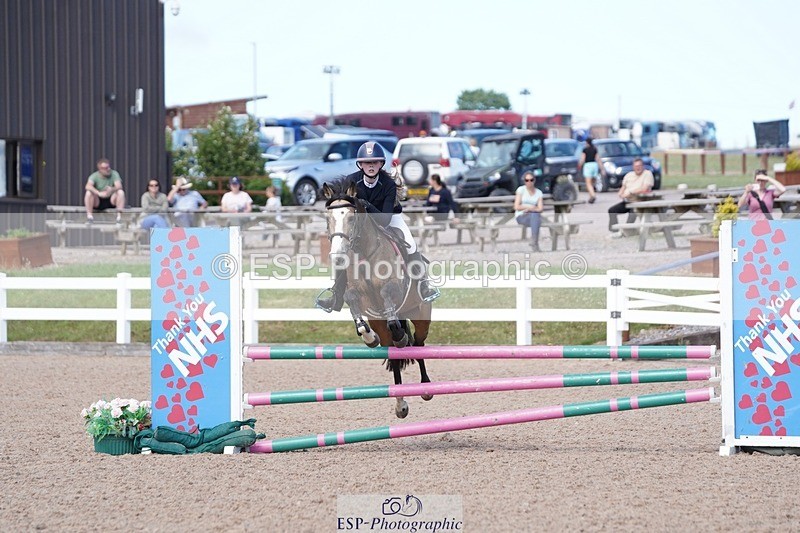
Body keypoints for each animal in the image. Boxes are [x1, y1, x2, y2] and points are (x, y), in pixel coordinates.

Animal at [321, 178, 433, 418]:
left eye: (351, 217)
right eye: (328, 219)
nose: (337, 255)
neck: (364, 253)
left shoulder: (393, 289)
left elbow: (388, 296)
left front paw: (399, 334)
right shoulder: (356, 296)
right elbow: (353, 304)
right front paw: (368, 337)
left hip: (421, 315)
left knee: (418, 343)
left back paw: (426, 387)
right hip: (382, 324)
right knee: (394, 352)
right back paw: (400, 404)